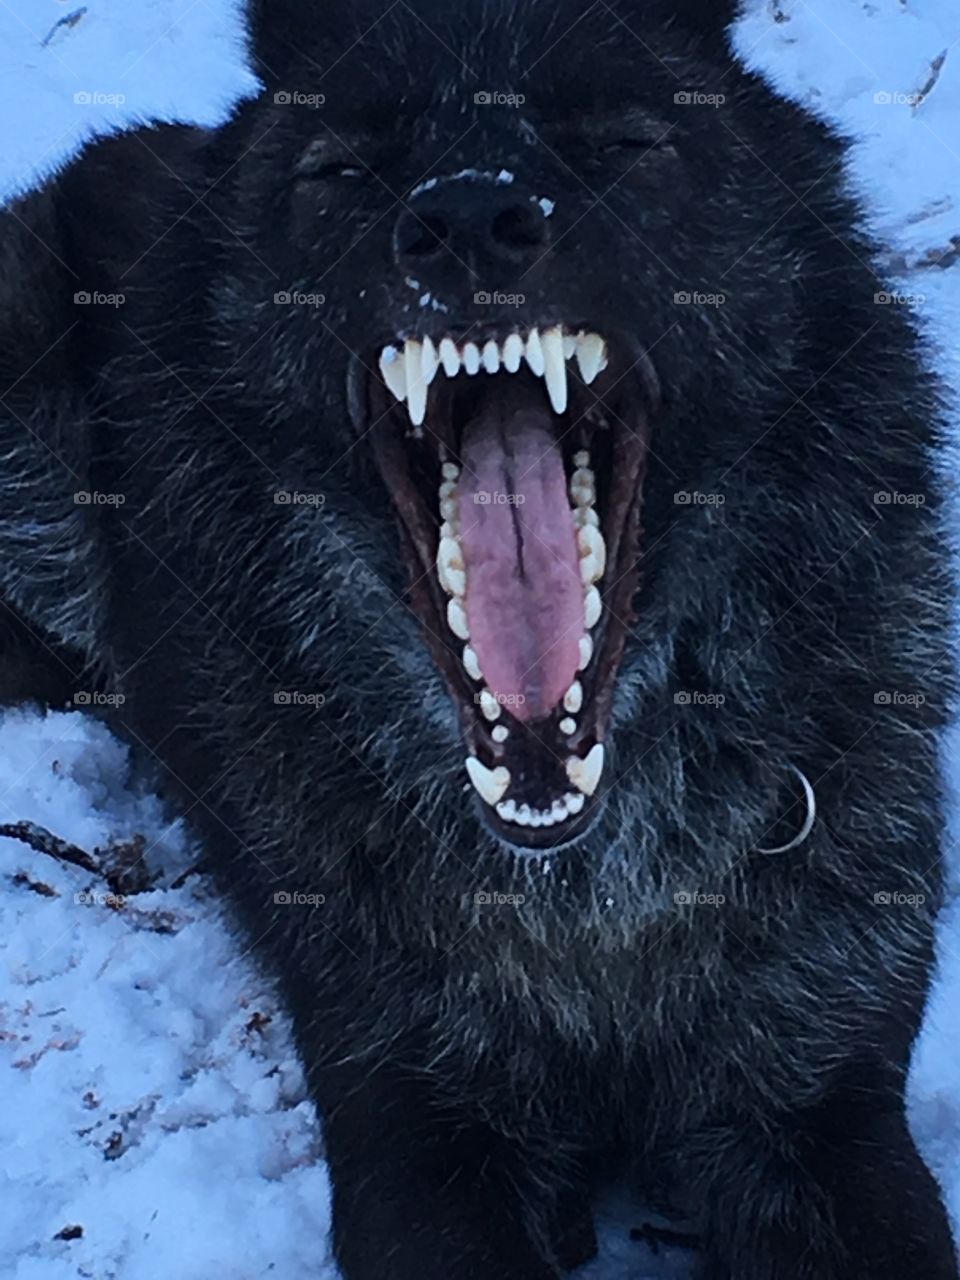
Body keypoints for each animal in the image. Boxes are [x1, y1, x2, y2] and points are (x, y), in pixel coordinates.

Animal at [0, 0, 956, 1275]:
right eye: (341, 170)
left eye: (619, 143)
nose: (463, 223)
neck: (589, 893)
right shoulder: (421, 1137)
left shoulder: (822, 1110)